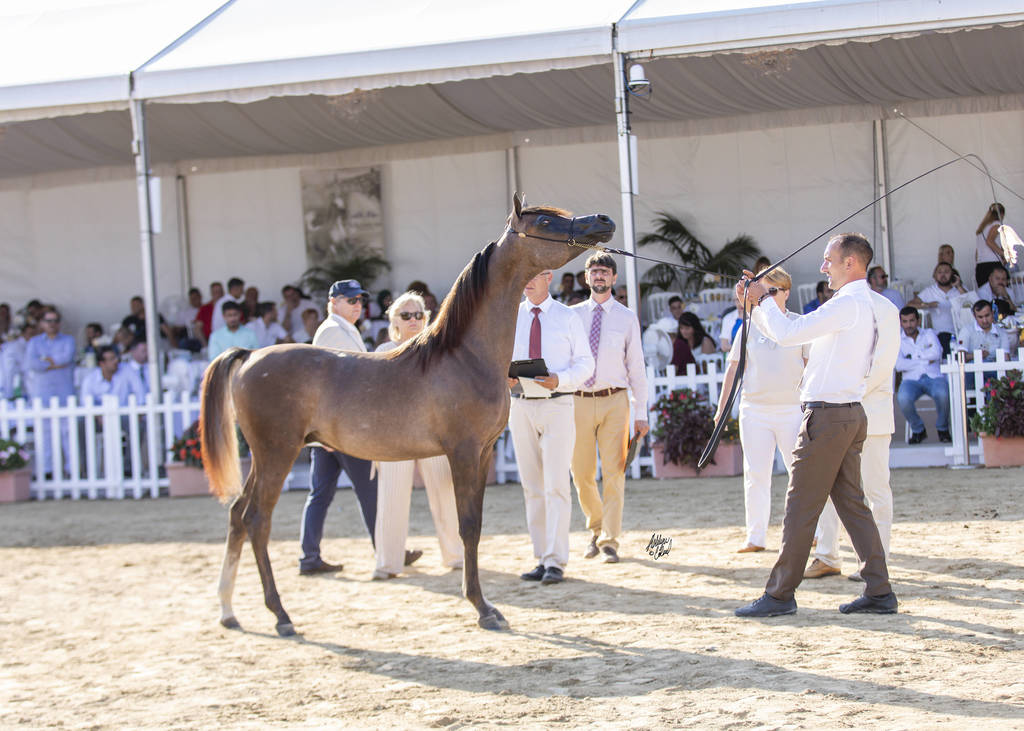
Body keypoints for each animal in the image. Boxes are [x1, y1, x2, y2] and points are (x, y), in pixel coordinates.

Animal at [200, 194, 616, 636]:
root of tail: (249, 357)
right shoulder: (462, 453)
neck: (464, 357)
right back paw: (280, 615)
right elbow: (468, 526)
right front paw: (483, 608)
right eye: (543, 221)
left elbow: (475, 526)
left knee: (237, 515)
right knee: (257, 520)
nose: (603, 221)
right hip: (276, 453)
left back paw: (228, 610)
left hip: (264, 459)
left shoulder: (483, 453)